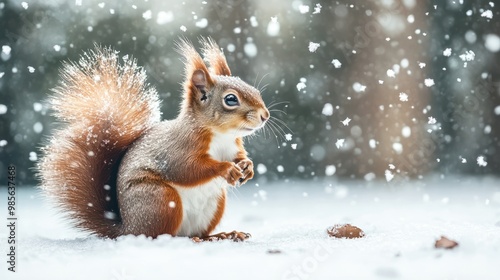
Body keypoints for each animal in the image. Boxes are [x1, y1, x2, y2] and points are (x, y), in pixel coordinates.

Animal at [38, 38, 270, 242]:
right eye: (231, 99)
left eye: (255, 90)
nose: (265, 115)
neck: (222, 135)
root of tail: (127, 230)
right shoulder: (179, 147)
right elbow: (187, 169)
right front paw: (226, 169)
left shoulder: (233, 147)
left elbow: (239, 157)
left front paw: (247, 167)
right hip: (160, 200)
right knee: (160, 235)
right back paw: (194, 240)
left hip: (215, 203)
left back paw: (220, 235)